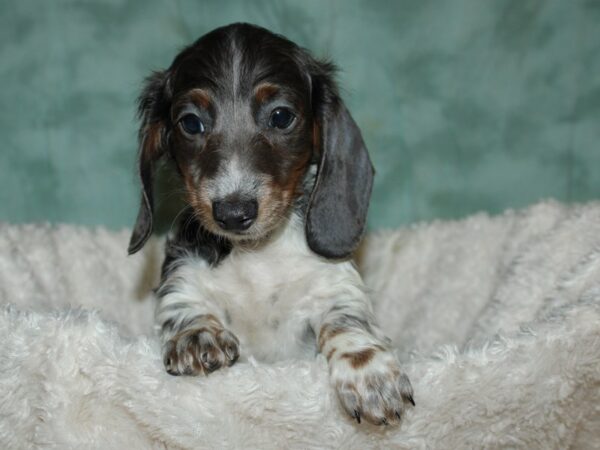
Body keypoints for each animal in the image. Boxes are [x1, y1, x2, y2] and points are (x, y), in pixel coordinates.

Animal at [129, 22, 414, 426]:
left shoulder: (333, 285)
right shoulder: (182, 274)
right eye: (190, 123)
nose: (234, 213)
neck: (257, 254)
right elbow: (181, 304)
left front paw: (369, 373)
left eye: (280, 116)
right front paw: (196, 334)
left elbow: (347, 321)